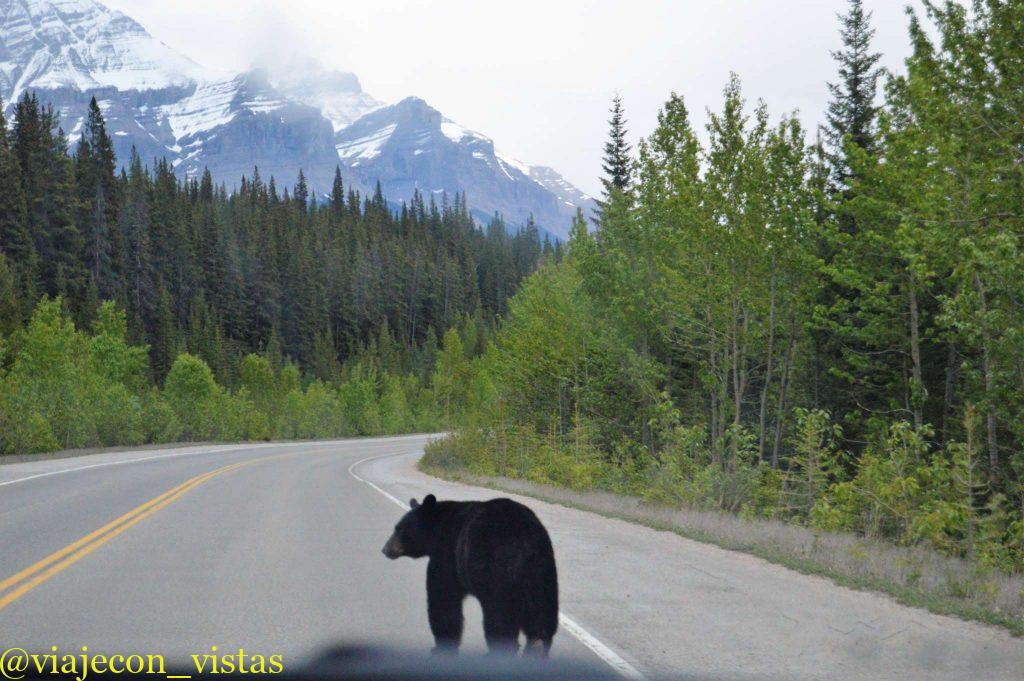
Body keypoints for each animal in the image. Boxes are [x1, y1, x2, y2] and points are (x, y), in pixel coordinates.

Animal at [382, 494, 559, 657]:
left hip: (499, 574)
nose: (385, 549)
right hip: (542, 574)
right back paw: (536, 649)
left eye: (399, 529)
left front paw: (441, 647)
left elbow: (443, 598)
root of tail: (526, 541)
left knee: (500, 619)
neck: (437, 529)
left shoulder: (448, 554)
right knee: (541, 619)